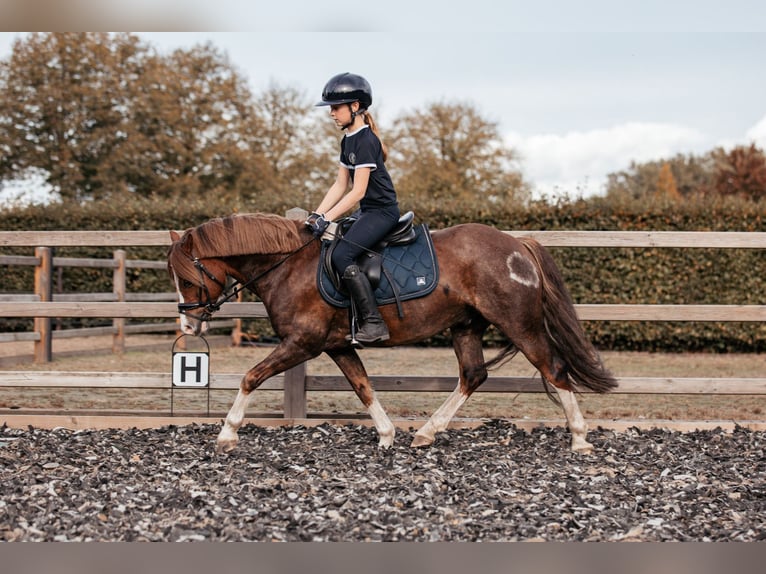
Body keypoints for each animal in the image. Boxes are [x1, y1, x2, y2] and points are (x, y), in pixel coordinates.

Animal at [168, 212, 616, 454]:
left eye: (187, 278)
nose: (188, 324)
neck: (288, 265)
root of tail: (517, 246)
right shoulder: (335, 347)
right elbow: (363, 387)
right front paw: (386, 435)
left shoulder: (302, 344)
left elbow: (250, 377)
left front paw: (227, 435)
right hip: (466, 326)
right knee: (473, 375)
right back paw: (427, 432)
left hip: (519, 324)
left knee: (555, 370)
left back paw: (580, 439)